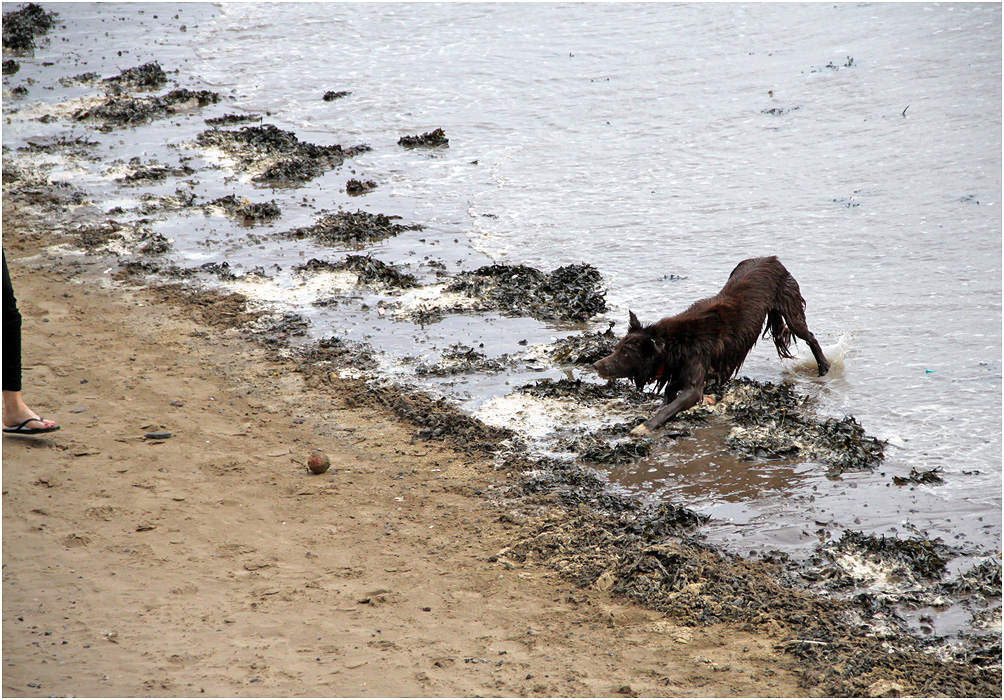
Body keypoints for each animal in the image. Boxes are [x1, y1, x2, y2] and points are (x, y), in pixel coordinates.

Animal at [590, 254, 827, 433]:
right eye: (617, 348)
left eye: (626, 353)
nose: (595, 365)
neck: (672, 344)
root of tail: (771, 259)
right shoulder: (680, 370)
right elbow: (669, 395)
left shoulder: (695, 378)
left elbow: (671, 406)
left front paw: (645, 427)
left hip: (790, 306)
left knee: (810, 336)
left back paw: (824, 367)